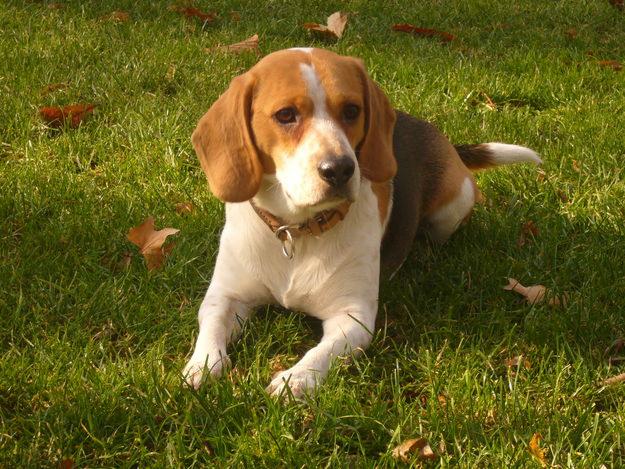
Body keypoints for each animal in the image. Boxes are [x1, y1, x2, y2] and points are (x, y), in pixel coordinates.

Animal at [182, 47, 540, 394]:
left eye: (352, 110)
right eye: (285, 115)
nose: (339, 169)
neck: (298, 232)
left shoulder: (353, 317)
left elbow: (320, 353)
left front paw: (294, 380)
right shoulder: (225, 295)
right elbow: (211, 325)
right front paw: (202, 366)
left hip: (454, 206)